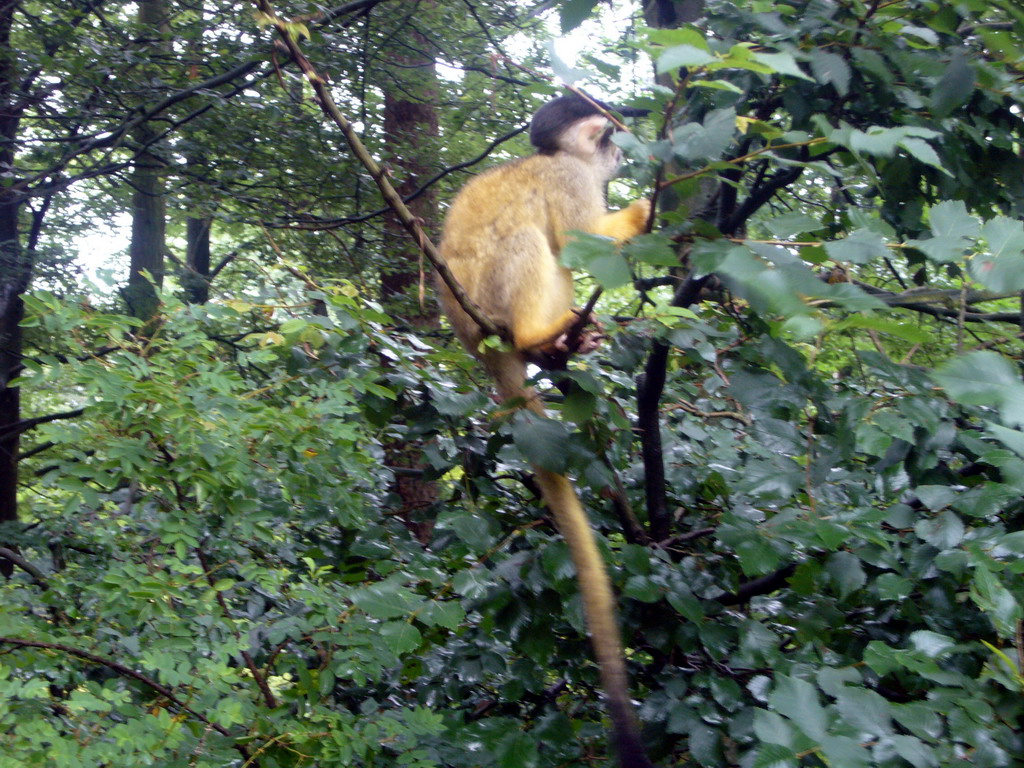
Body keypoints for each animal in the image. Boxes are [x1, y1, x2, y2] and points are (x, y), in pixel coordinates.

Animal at [436, 94, 651, 768]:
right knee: (534, 239)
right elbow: (583, 237)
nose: (621, 146)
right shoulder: (569, 179)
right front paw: (643, 211)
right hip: (489, 300)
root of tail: (471, 339)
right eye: (604, 133)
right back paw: (537, 334)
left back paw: (559, 344)